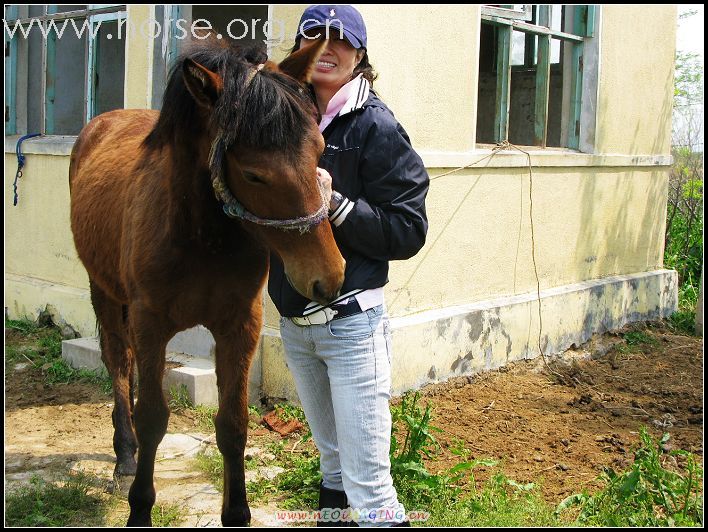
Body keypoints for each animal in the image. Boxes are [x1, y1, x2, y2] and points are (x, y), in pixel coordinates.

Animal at [68, 38, 342, 528]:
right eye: (253, 174)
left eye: (320, 149)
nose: (328, 277)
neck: (200, 237)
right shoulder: (151, 323)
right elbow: (153, 418)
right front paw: (140, 507)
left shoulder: (239, 325)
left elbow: (233, 423)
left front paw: (237, 512)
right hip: (105, 292)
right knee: (117, 362)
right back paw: (125, 456)